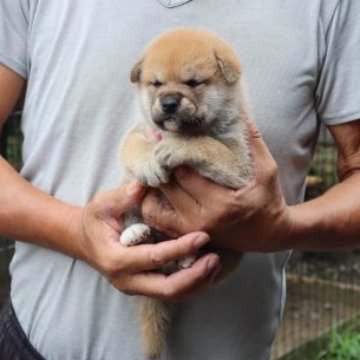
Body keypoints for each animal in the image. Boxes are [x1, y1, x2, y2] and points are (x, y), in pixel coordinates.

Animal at [119, 28, 252, 360]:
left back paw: (189, 256)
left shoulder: (238, 161)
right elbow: (136, 147)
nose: (168, 103)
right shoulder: (136, 134)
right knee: (135, 223)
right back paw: (134, 234)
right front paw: (150, 161)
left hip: (232, 245)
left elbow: (204, 143)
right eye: (156, 83)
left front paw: (179, 146)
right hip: (130, 195)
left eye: (193, 82)